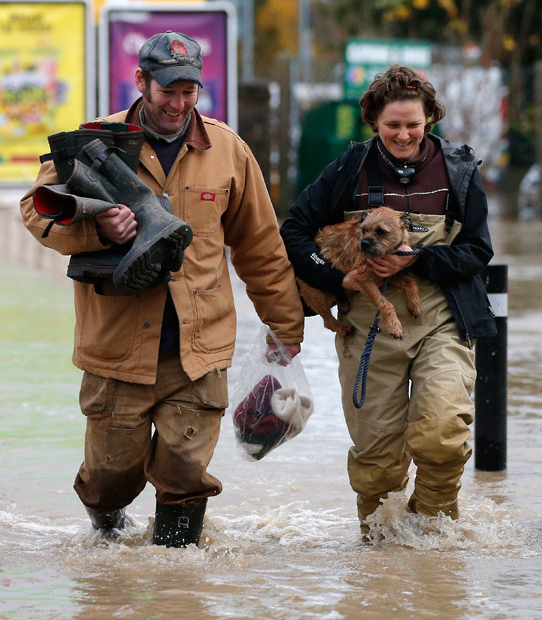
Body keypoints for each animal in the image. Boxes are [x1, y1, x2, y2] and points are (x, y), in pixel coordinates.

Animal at [300, 207, 422, 340]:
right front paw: (394, 326)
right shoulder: (363, 279)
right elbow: (385, 303)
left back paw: (343, 302)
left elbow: (411, 282)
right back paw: (343, 328)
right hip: (316, 294)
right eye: (364, 229)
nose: (364, 243)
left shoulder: (386, 275)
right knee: (327, 321)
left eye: (381, 231)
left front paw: (414, 304)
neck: (385, 254)